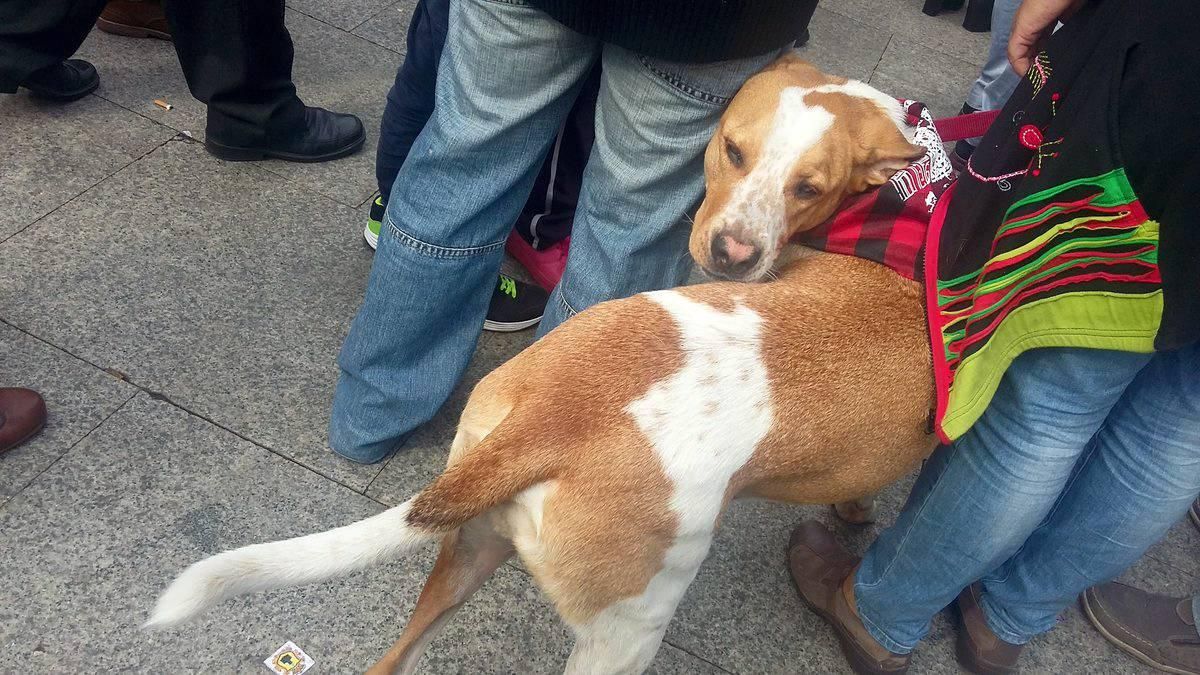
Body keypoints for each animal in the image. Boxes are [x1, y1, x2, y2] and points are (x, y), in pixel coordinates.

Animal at [147, 55, 936, 667]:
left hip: (466, 549)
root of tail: (554, 418)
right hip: (628, 630)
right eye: (732, 151)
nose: (731, 254)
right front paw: (857, 514)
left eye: (809, 186)